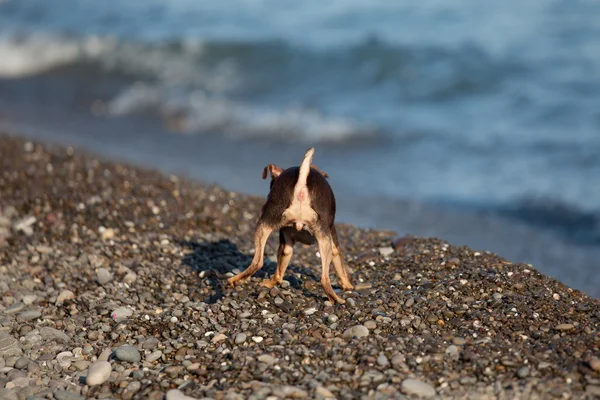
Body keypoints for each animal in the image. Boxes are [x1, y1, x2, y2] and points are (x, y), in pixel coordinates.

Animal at [227, 147, 354, 304]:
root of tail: (301, 186)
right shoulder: (333, 239)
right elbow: (340, 264)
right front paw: (348, 285)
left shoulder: (287, 241)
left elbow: (281, 266)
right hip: (318, 235)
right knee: (324, 278)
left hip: (266, 225)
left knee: (259, 262)